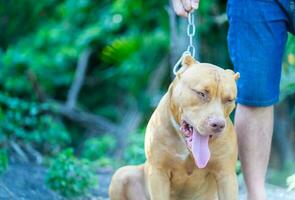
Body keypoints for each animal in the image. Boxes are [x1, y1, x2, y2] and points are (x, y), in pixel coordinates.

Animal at [108, 55, 240, 200]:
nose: (218, 124)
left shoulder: (226, 175)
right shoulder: (158, 173)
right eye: (201, 93)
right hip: (121, 174)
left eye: (229, 100)